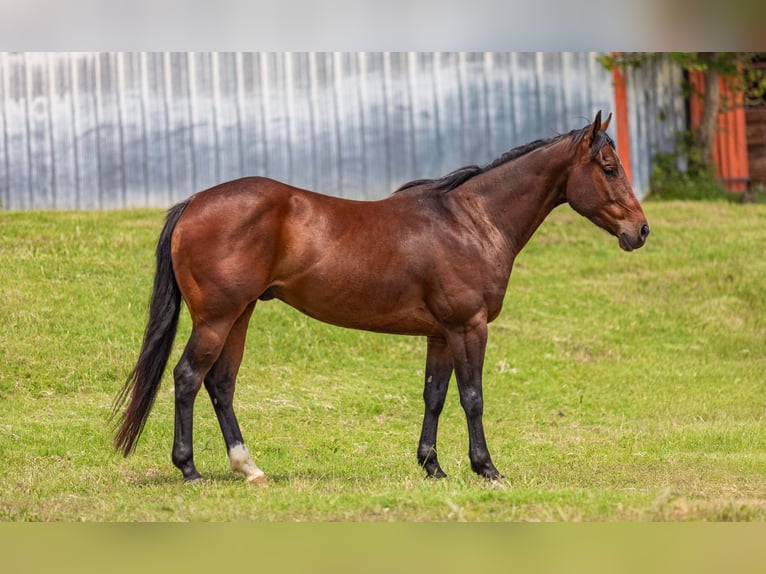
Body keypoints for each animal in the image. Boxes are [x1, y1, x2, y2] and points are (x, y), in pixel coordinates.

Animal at [112, 111, 649, 483]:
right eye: (608, 167)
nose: (640, 231)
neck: (472, 222)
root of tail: (193, 203)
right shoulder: (468, 327)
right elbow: (472, 398)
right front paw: (486, 468)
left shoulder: (441, 334)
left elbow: (435, 396)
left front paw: (432, 466)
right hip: (216, 319)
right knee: (188, 378)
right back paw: (189, 469)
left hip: (239, 315)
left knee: (220, 384)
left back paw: (249, 468)